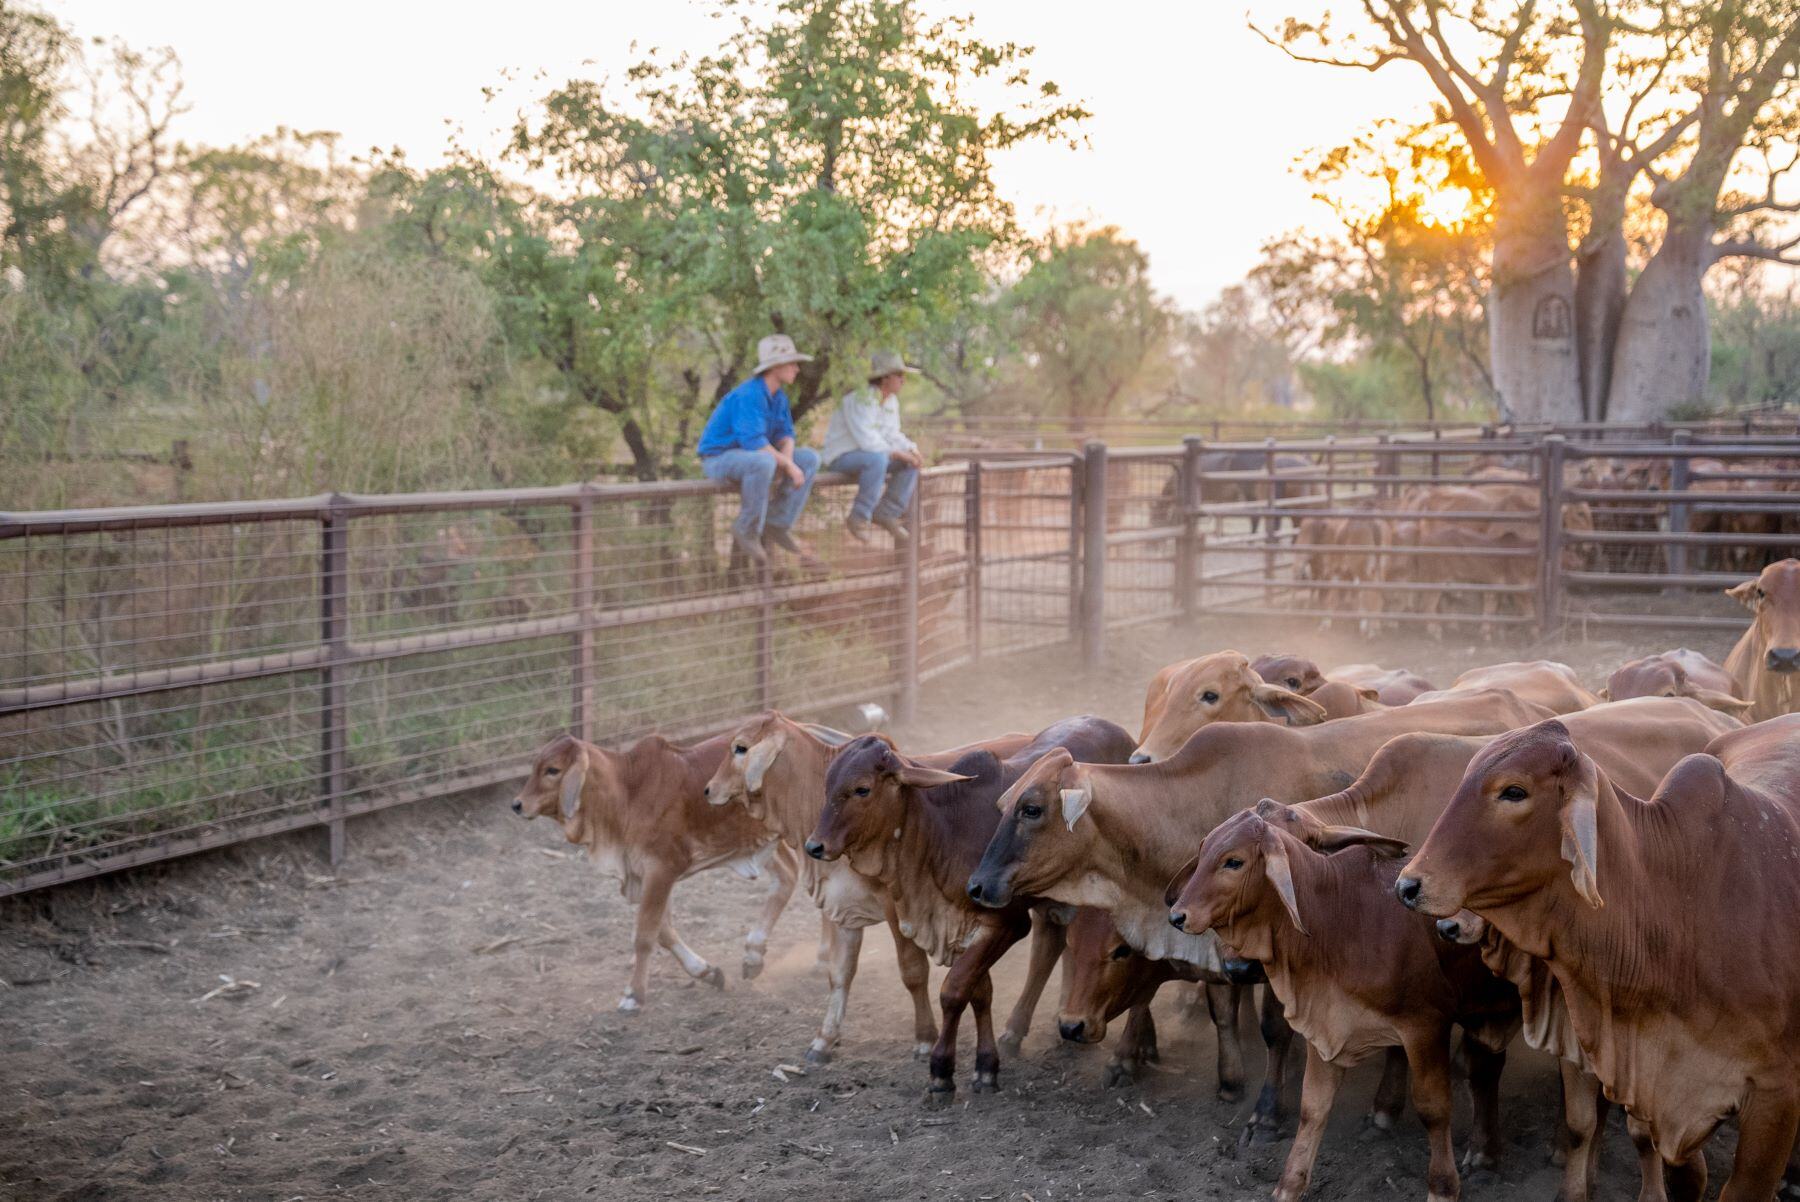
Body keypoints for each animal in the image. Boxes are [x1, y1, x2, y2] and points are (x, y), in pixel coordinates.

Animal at [1166, 813, 1519, 1202]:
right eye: (1203, 852)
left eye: (1233, 861)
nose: (1177, 916)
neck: (1336, 919)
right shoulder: (1325, 1024)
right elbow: (1313, 1108)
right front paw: (1288, 1186)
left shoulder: (1425, 1028)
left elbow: (1434, 1109)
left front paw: (1442, 1188)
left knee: (1487, 1072)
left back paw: (1486, 1155)